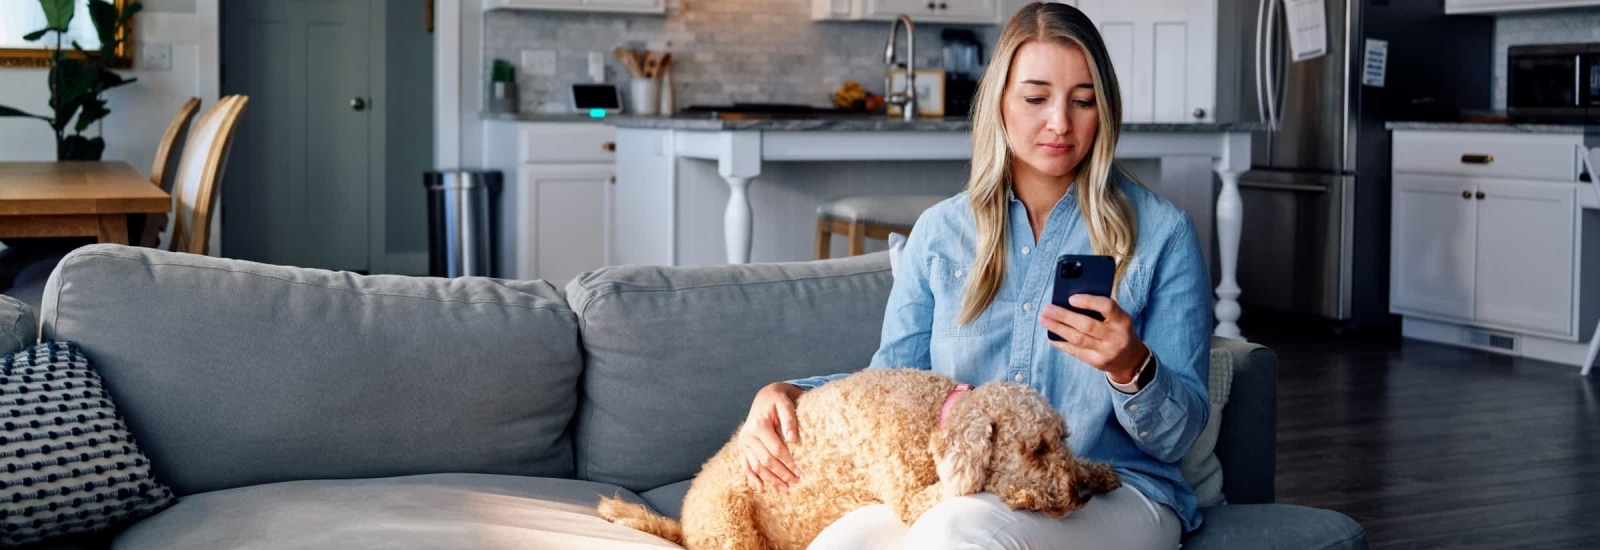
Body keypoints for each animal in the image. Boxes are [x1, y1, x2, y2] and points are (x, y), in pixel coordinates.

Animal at [601, 364, 1126, 550]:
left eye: (1064, 438)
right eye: (1035, 449)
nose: (1080, 493)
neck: (935, 415)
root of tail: (683, 524)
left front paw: (1098, 471)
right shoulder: (909, 496)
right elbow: (967, 485)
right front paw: (1023, 493)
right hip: (731, 528)